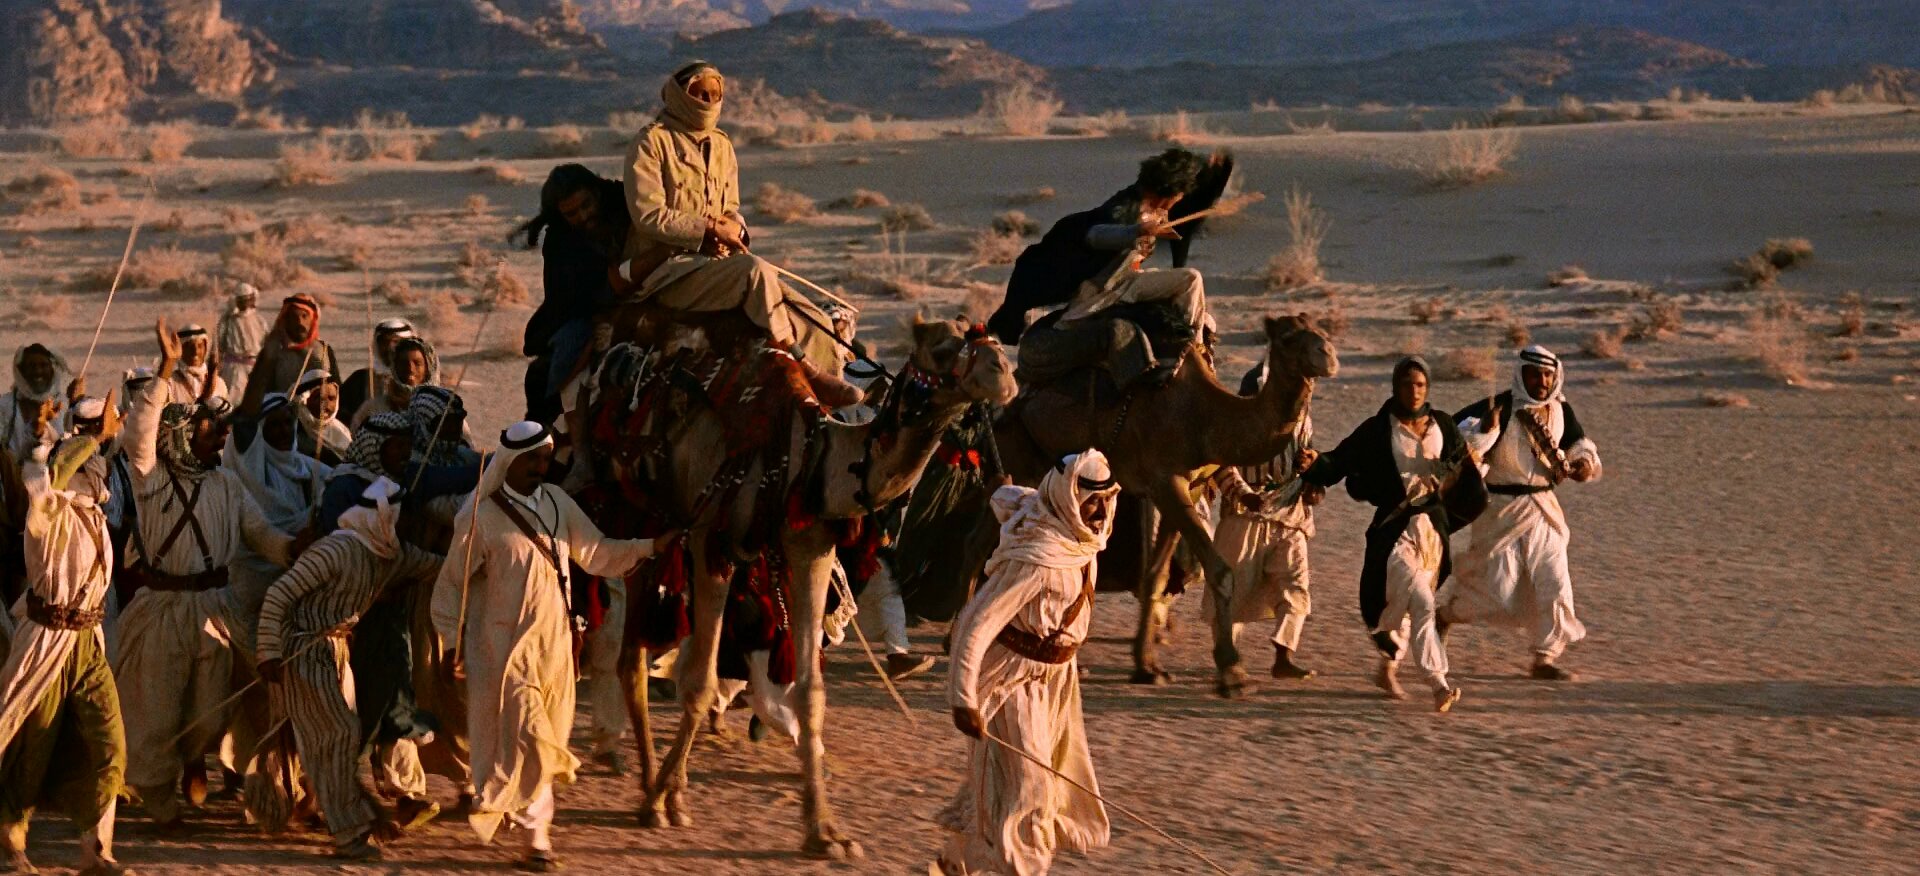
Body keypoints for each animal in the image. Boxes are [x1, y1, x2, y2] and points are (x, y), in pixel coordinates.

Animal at [583, 313, 1016, 858]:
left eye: (991, 340)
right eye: (942, 348)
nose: (1004, 373)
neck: (810, 460)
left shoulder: (810, 550)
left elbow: (811, 693)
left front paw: (825, 832)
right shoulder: (712, 543)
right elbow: (700, 681)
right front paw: (662, 799)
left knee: (635, 654)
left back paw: (657, 783)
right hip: (635, 516)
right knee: (630, 655)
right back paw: (649, 788)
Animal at [990, 313, 1337, 697]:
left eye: (1321, 330)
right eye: (1288, 338)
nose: (1328, 354)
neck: (1207, 418)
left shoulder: (1188, 488)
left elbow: (1154, 576)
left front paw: (1147, 667)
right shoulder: (1166, 483)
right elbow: (1220, 571)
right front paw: (1232, 672)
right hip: (1021, 456)